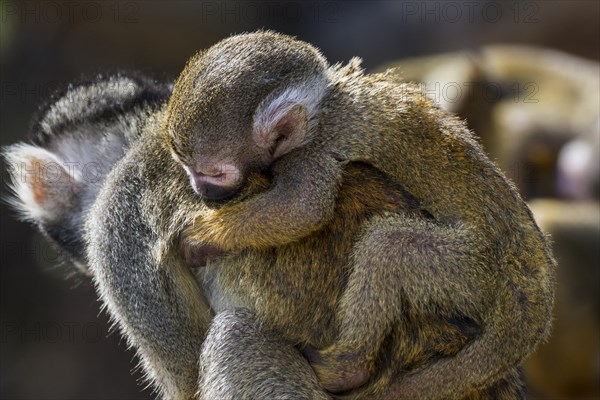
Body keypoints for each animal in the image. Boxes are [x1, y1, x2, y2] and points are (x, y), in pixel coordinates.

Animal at [163, 31, 552, 396]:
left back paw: (349, 366)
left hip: (475, 270)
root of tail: (533, 283)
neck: (323, 106)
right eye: (187, 170)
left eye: (213, 174)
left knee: (390, 247)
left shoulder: (312, 150)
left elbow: (304, 207)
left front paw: (201, 238)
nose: (201, 190)